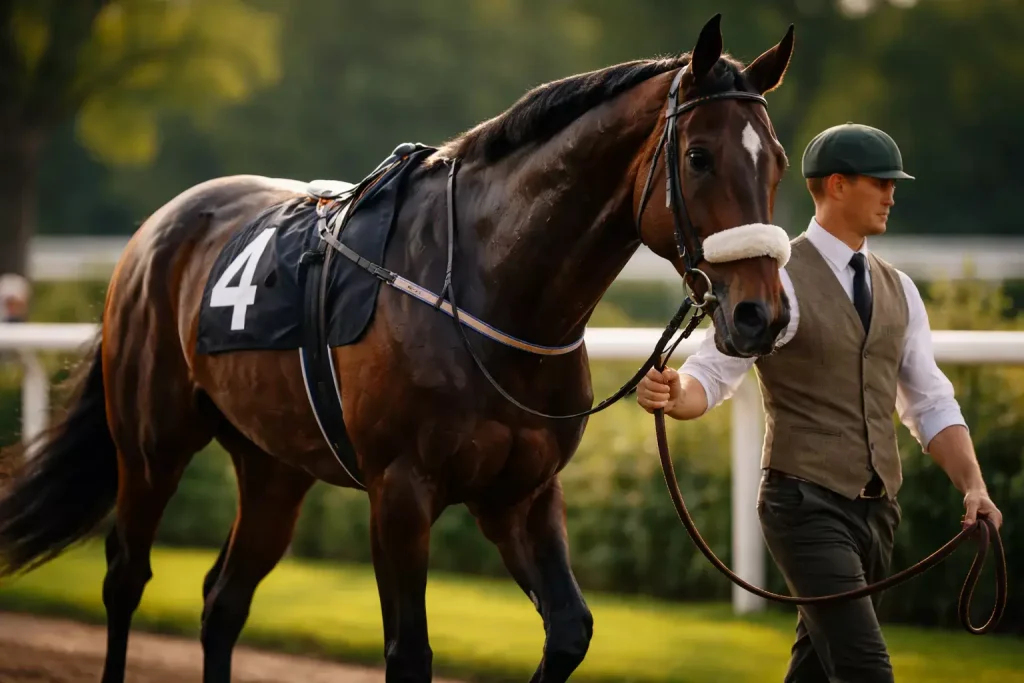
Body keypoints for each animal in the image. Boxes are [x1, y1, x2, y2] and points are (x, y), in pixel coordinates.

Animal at [0, 14, 796, 683]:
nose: (760, 314)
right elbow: (409, 652)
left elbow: (570, 630)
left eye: (779, 162)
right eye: (698, 156)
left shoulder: (521, 492)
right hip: (151, 444)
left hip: (275, 466)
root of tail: (155, 228)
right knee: (126, 577)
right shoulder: (401, 490)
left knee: (223, 599)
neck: (485, 290)